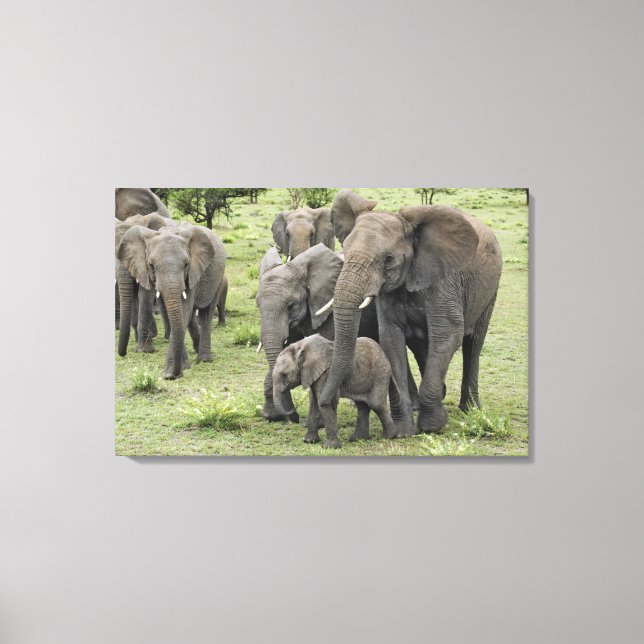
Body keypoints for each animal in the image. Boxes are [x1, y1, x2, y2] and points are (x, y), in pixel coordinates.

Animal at [117, 222, 227, 379]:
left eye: (186, 264)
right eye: (151, 265)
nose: (123, 354)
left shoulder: (192, 272)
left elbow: (183, 309)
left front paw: (170, 374)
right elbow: (170, 312)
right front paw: (181, 369)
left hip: (218, 277)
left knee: (207, 313)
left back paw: (204, 359)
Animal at [319, 189, 503, 437]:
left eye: (388, 260)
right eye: (344, 253)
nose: (327, 402)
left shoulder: (444, 282)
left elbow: (448, 334)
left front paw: (432, 426)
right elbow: (391, 340)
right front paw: (402, 431)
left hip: (490, 291)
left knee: (473, 345)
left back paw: (470, 409)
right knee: (422, 347)